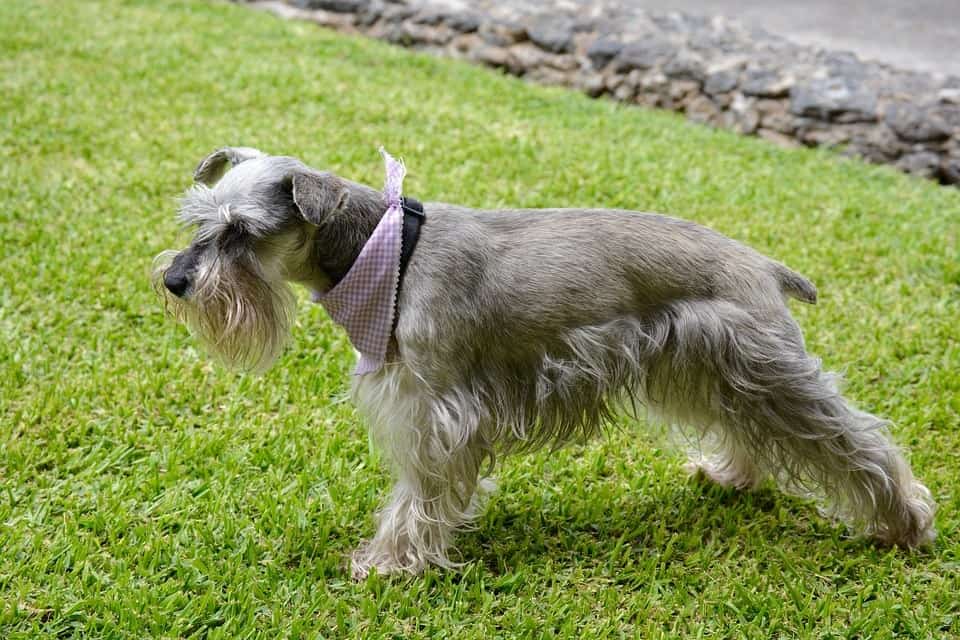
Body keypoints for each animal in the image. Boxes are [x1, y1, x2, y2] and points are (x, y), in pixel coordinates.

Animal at [156, 148, 936, 576]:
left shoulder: (438, 413)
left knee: (854, 442)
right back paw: (732, 474)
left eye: (240, 232)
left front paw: (388, 564)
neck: (386, 252)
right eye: (198, 221)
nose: (175, 281)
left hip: (764, 368)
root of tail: (766, 267)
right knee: (752, 430)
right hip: (716, 370)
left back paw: (903, 524)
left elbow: (418, 496)